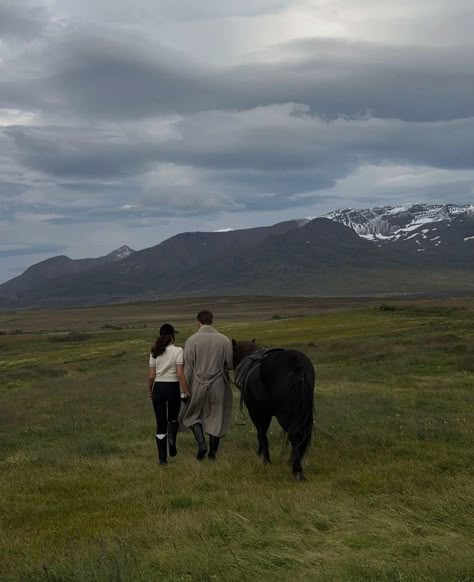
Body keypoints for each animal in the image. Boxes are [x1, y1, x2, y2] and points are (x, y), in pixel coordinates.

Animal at [232, 340, 314, 482]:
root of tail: (298, 366)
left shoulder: (258, 413)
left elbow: (261, 434)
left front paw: (265, 460)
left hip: (284, 415)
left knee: (295, 435)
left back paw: (297, 470)